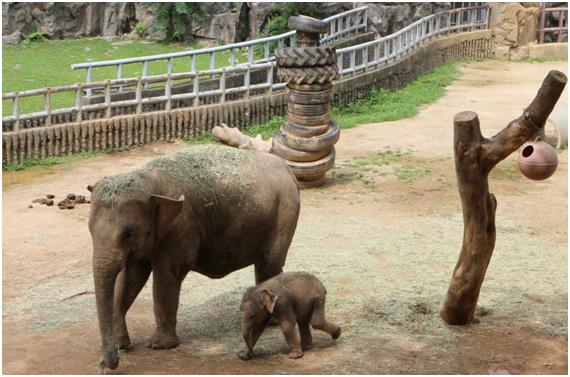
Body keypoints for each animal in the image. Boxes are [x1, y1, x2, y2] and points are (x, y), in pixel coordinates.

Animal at [86, 144, 300, 368]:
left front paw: (159, 346)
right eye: (89, 228)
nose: (108, 363)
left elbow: (166, 276)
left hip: (284, 211)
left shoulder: (181, 225)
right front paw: (123, 345)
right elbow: (131, 278)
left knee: (269, 263)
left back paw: (272, 321)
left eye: (128, 234)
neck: (148, 179)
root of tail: (287, 169)